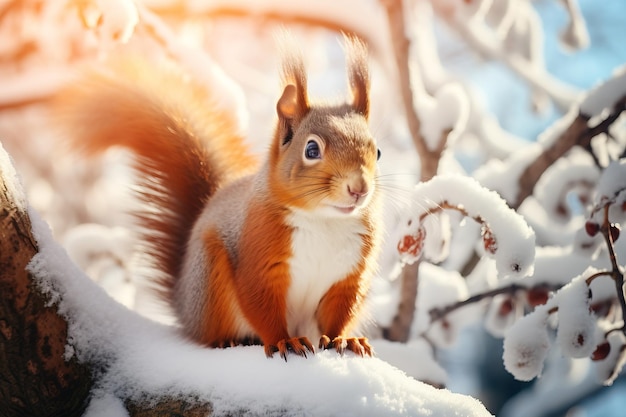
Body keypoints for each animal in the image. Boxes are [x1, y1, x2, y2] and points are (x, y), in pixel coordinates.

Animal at [56, 35, 380, 360]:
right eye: (311, 150)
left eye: (377, 152)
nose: (358, 189)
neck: (325, 220)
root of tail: (184, 303)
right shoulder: (257, 255)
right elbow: (261, 304)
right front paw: (283, 341)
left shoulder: (349, 277)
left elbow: (339, 314)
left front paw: (344, 340)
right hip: (210, 279)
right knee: (212, 334)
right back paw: (226, 341)